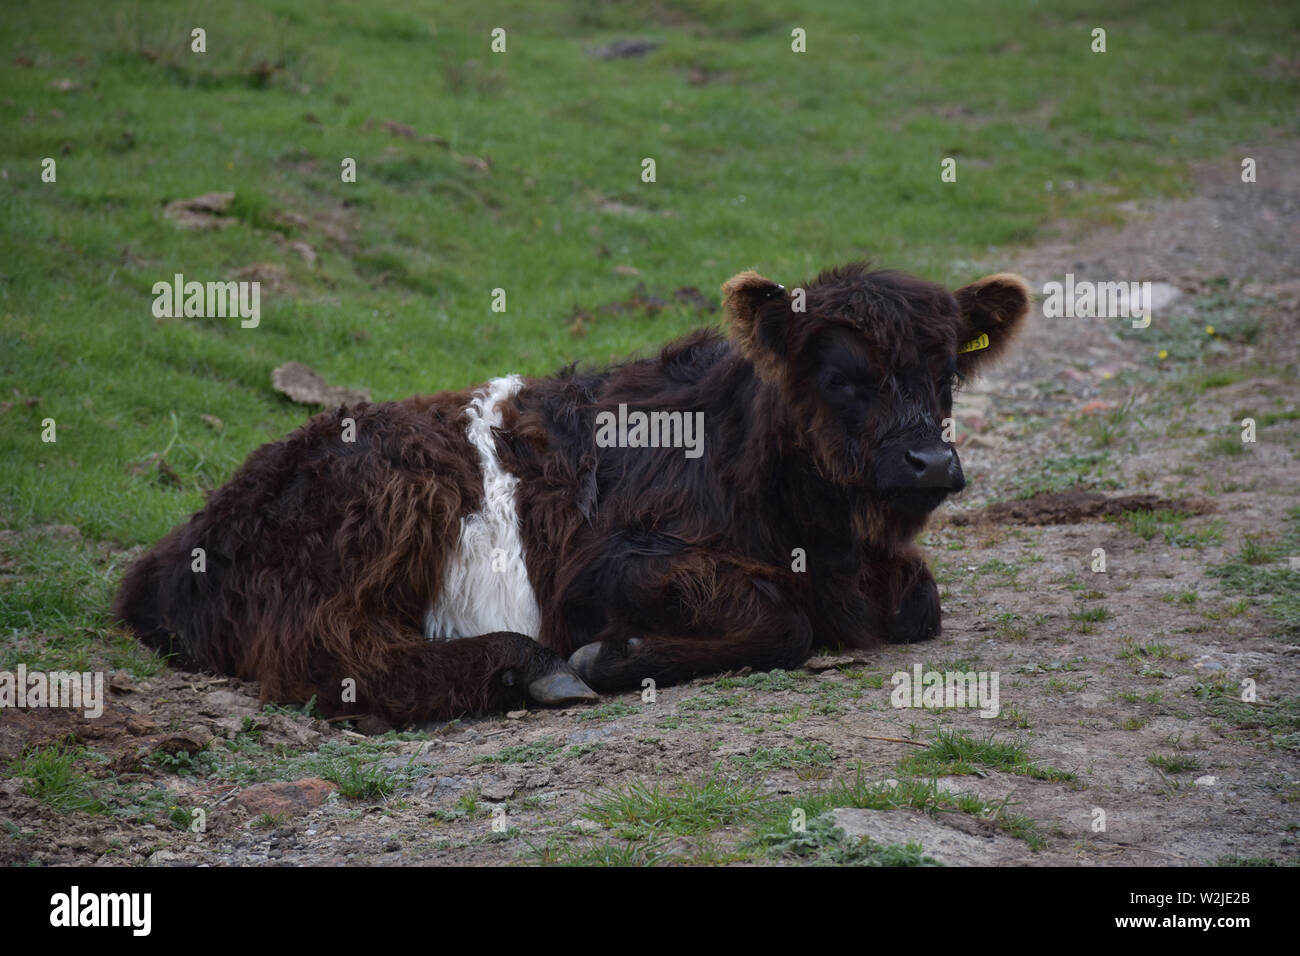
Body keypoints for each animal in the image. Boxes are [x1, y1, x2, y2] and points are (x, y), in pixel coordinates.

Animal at [114, 261, 1024, 723]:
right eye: (843, 377)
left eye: (947, 375)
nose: (931, 464)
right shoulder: (603, 568)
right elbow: (783, 622)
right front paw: (616, 658)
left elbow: (919, 604)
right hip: (398, 493)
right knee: (328, 655)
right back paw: (528, 667)